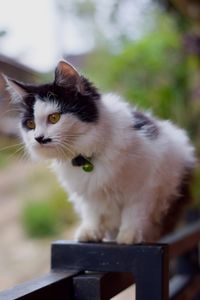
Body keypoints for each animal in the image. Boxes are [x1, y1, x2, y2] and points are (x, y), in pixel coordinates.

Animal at [3, 60, 196, 244]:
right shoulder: (87, 194)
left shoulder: (145, 184)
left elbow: (133, 213)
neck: (86, 157)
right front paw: (90, 233)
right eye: (31, 124)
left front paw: (129, 236)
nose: (38, 138)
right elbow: (92, 214)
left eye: (54, 118)